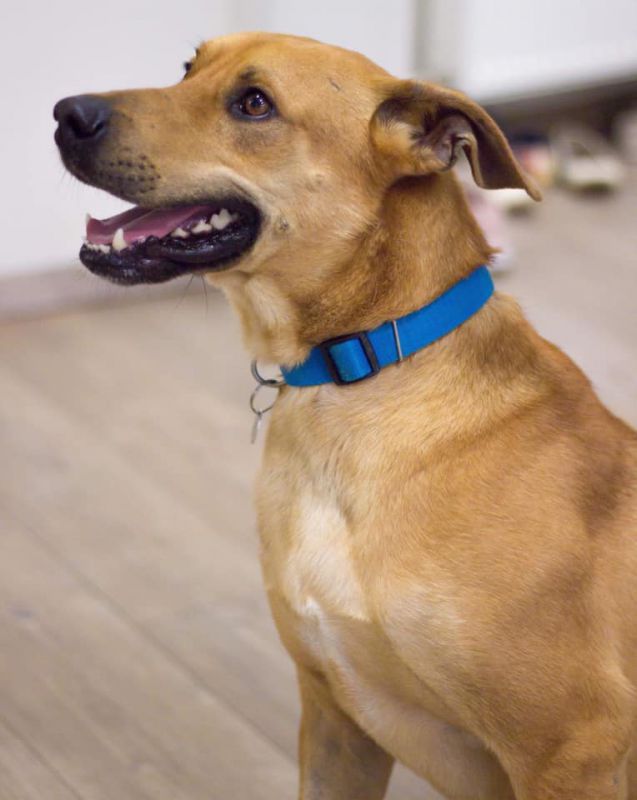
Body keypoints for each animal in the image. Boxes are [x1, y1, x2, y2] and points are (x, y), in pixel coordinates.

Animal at [55, 32, 637, 800]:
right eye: (188, 68)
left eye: (254, 104)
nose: (65, 113)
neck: (359, 376)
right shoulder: (334, 716)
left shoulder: (573, 748)